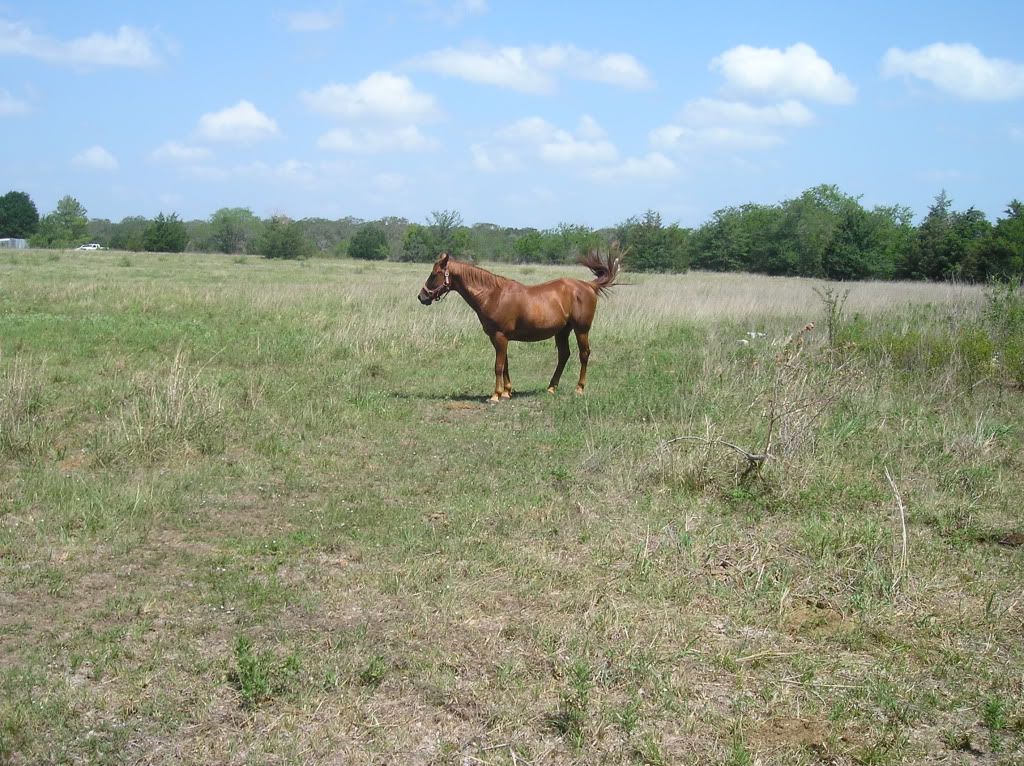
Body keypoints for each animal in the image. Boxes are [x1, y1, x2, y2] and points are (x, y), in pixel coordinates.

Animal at [417, 250, 620, 402]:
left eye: (434, 274)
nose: (422, 296)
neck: (493, 295)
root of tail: (589, 285)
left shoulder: (500, 336)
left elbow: (498, 366)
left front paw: (495, 395)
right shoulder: (498, 338)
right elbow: (505, 364)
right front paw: (507, 391)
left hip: (581, 330)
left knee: (584, 354)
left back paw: (579, 388)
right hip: (562, 331)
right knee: (564, 355)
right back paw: (551, 387)